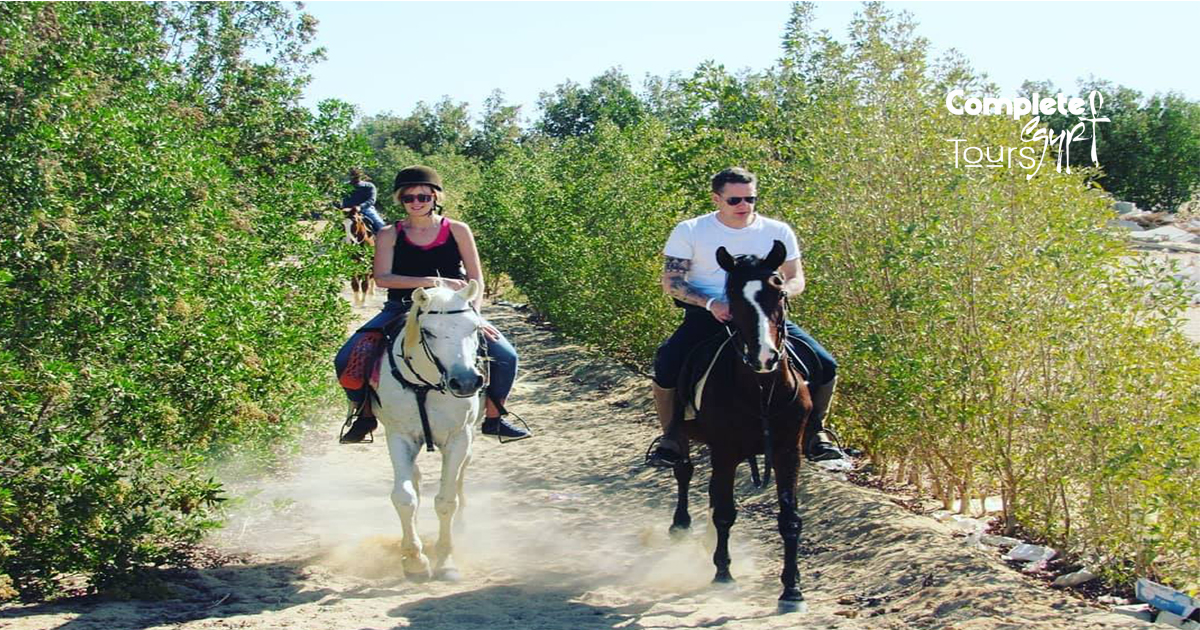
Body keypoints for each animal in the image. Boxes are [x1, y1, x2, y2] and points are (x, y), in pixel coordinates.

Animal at [374, 279, 487, 580]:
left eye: (474, 327)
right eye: (427, 331)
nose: (466, 382)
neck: (426, 385)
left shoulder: (459, 437)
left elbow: (446, 500)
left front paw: (445, 560)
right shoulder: (399, 437)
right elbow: (404, 498)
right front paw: (414, 560)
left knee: (460, 476)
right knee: (414, 479)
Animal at [667, 238, 816, 612]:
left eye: (779, 293)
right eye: (732, 298)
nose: (764, 357)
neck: (761, 390)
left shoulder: (788, 452)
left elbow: (789, 519)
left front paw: (792, 589)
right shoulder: (726, 450)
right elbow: (725, 513)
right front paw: (723, 573)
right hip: (686, 435)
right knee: (684, 471)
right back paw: (681, 526)